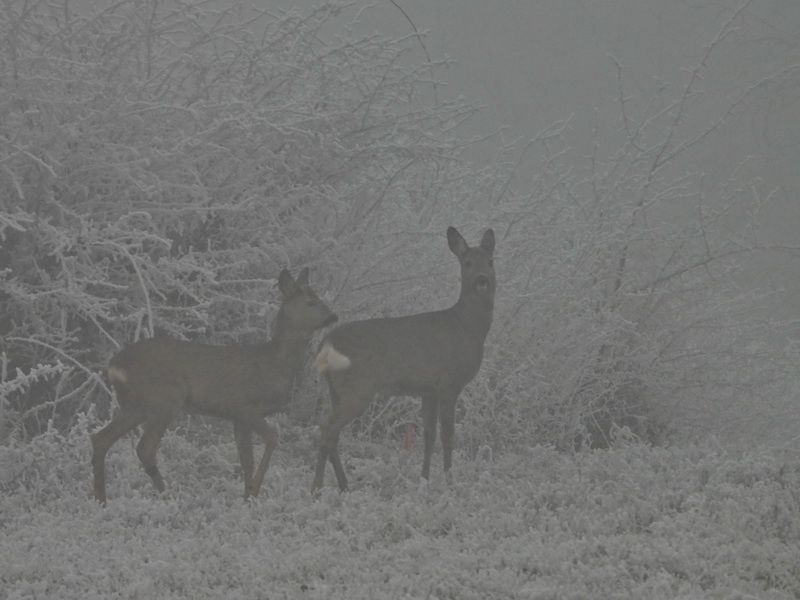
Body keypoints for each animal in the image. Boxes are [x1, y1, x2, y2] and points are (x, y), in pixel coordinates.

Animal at [91, 270, 338, 504]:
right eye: (311, 302)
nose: (333, 316)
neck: (274, 364)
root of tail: (115, 365)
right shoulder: (245, 406)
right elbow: (272, 438)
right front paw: (255, 490)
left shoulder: (237, 418)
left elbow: (246, 459)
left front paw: (247, 496)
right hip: (163, 400)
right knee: (145, 448)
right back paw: (167, 495)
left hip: (133, 406)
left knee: (100, 439)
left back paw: (101, 499)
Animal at [310, 226, 494, 492]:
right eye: (467, 262)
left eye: (490, 262)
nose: (482, 280)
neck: (468, 329)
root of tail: (326, 343)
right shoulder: (449, 383)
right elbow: (448, 434)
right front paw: (449, 480)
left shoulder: (428, 389)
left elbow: (429, 434)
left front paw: (424, 478)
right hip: (358, 388)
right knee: (327, 427)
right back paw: (316, 487)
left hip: (335, 389)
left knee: (332, 432)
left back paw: (344, 485)